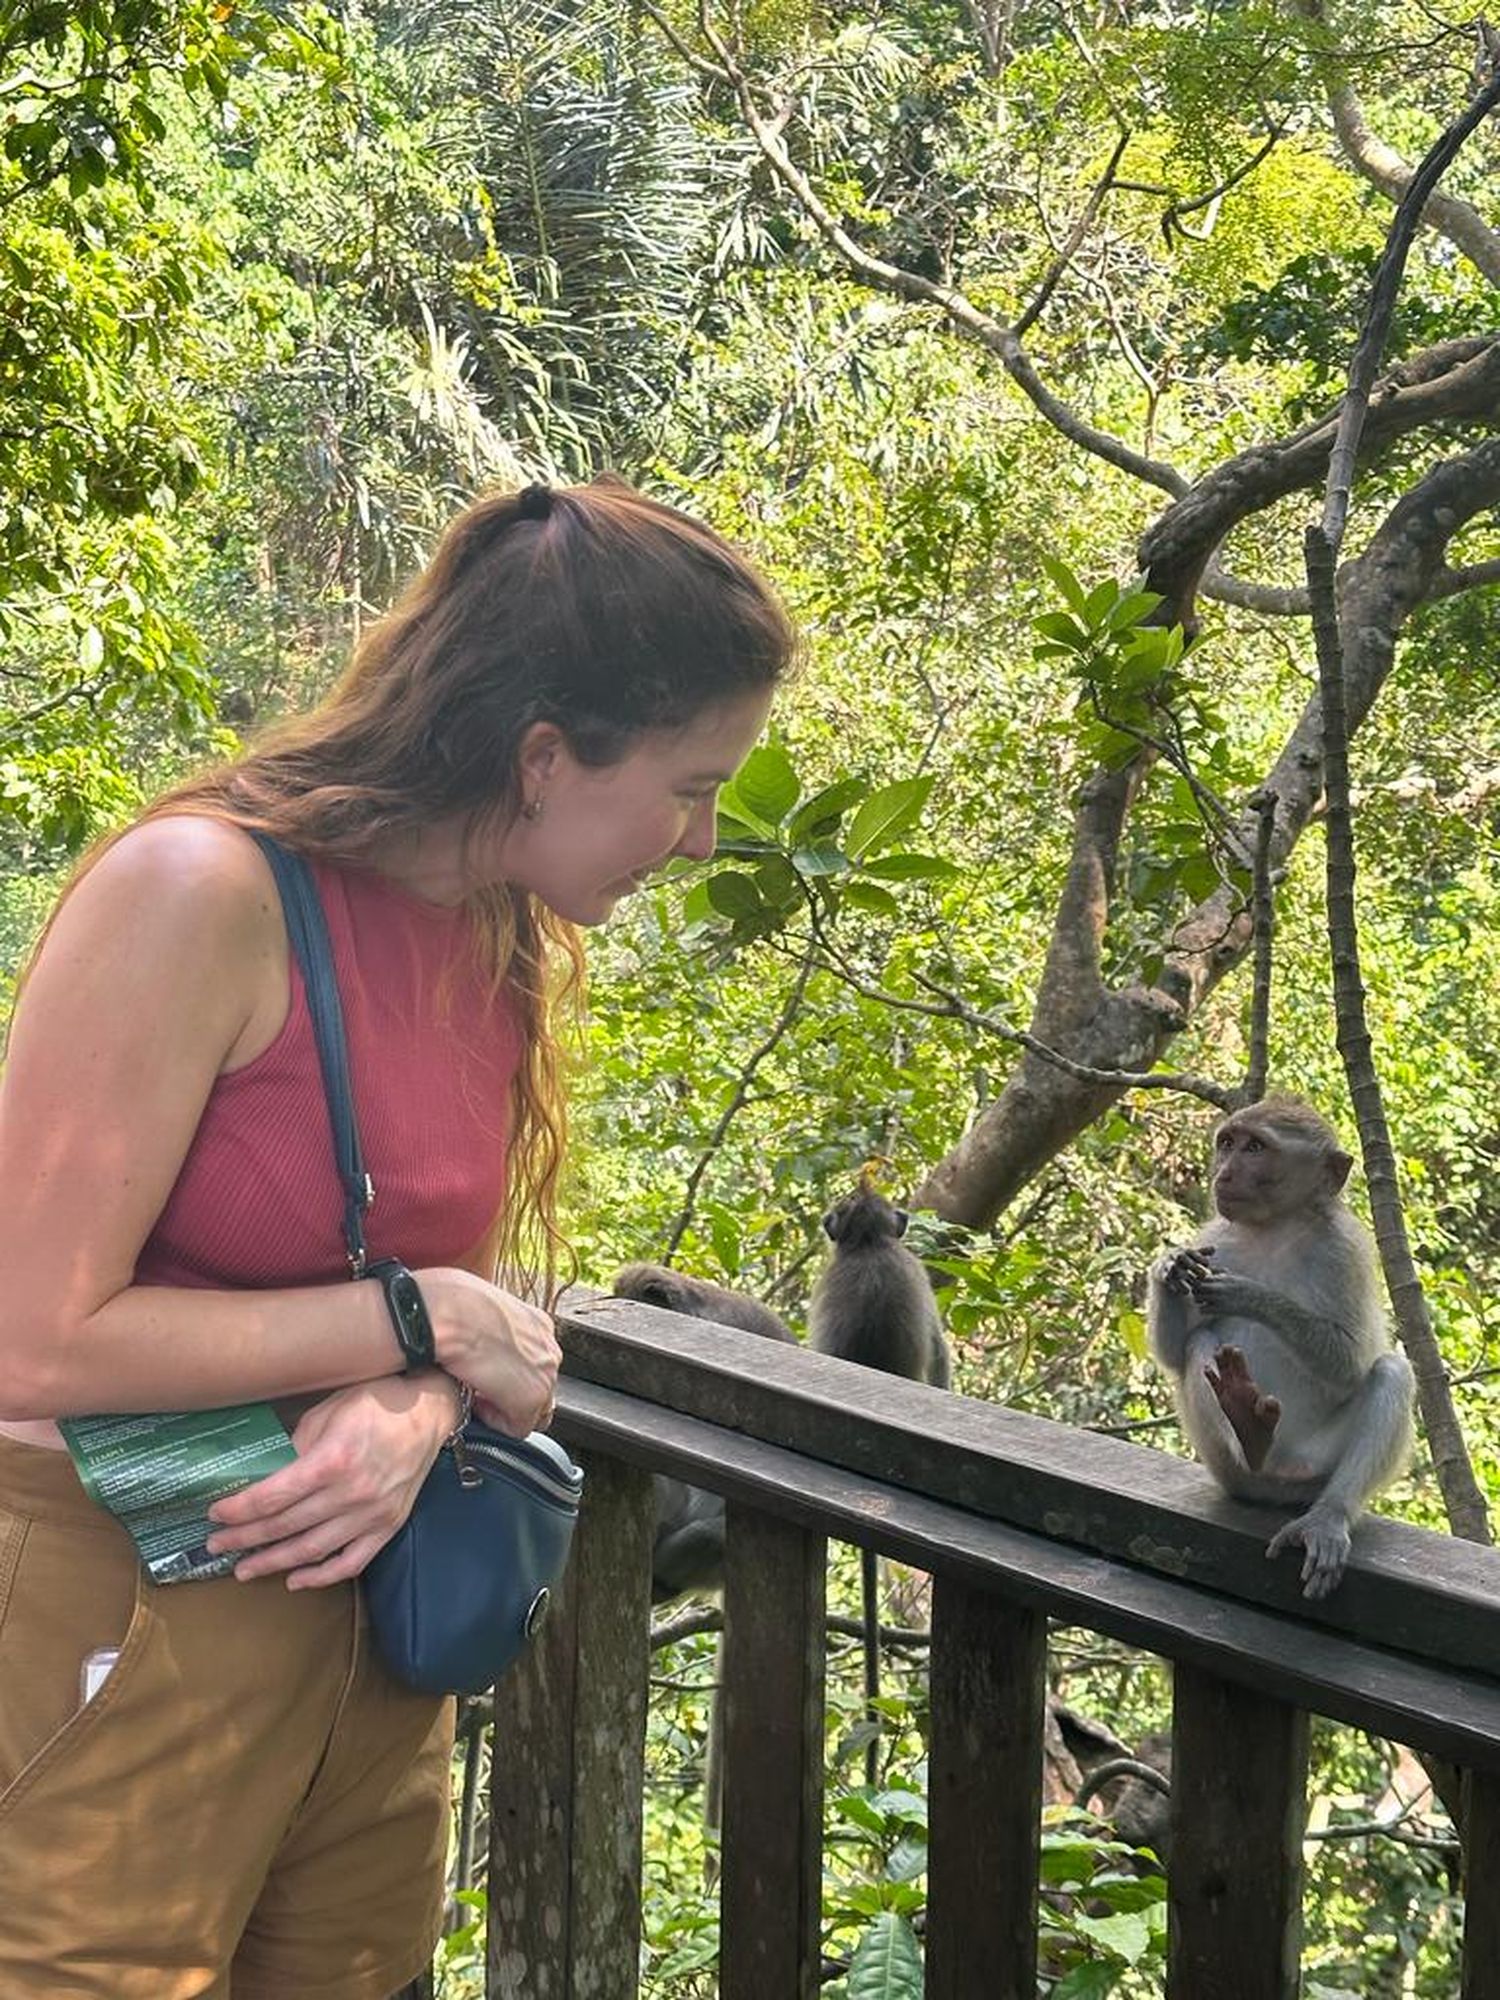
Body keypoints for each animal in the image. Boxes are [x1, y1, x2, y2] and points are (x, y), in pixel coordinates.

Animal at [1160, 1104, 1416, 1600]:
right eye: (1228, 1143)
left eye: (1256, 1147)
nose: (1224, 1172)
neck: (1274, 1226)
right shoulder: (1216, 1234)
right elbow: (1174, 1353)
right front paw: (1168, 1267)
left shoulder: (1346, 1250)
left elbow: (1350, 1362)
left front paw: (1249, 1295)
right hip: (1225, 1466)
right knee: (1202, 1345)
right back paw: (1248, 1428)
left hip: (1314, 1466)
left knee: (1392, 1372)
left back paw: (1327, 1517)